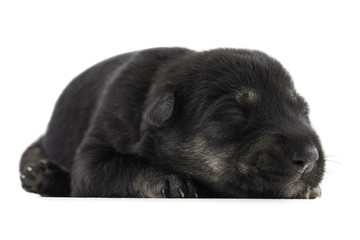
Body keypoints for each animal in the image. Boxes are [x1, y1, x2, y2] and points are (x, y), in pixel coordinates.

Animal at [19, 47, 324, 198]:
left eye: (303, 109)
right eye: (233, 114)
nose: (309, 159)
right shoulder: (94, 154)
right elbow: (121, 165)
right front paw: (167, 179)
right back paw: (41, 175)